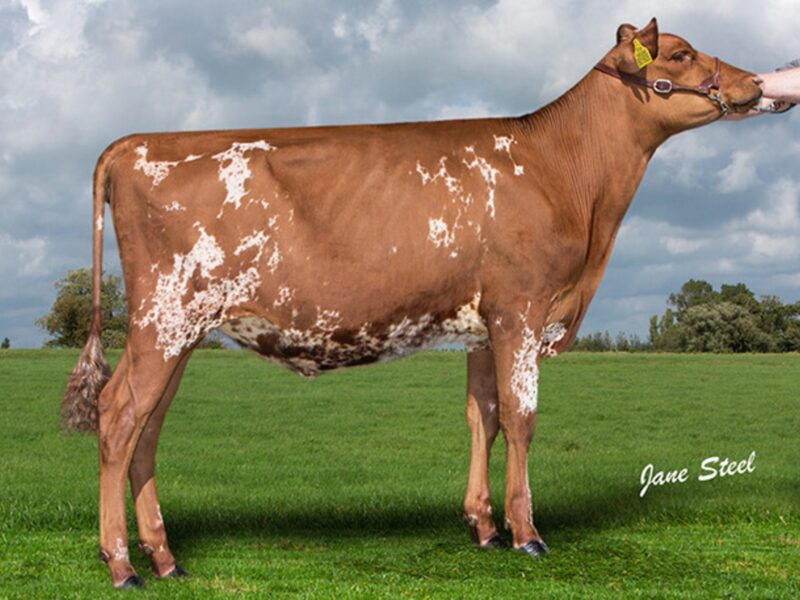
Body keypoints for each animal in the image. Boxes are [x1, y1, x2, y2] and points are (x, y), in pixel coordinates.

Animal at [62, 18, 763, 588]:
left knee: (147, 427)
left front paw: (484, 527)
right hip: (164, 317)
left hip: (178, 330)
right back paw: (122, 564)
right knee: (119, 418)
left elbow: (484, 416)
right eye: (681, 52)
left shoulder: (484, 324)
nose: (756, 81)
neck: (566, 175)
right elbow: (523, 418)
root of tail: (134, 143)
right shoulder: (522, 308)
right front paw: (527, 534)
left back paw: (164, 558)